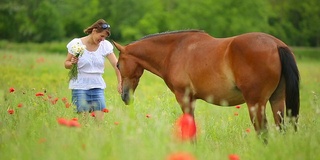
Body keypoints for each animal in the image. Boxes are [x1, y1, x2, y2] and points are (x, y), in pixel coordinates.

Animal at [113, 29, 300, 135]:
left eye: (118, 64)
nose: (124, 96)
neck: (174, 50)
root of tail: (276, 44)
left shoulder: (184, 98)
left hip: (255, 103)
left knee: (263, 132)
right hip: (277, 100)